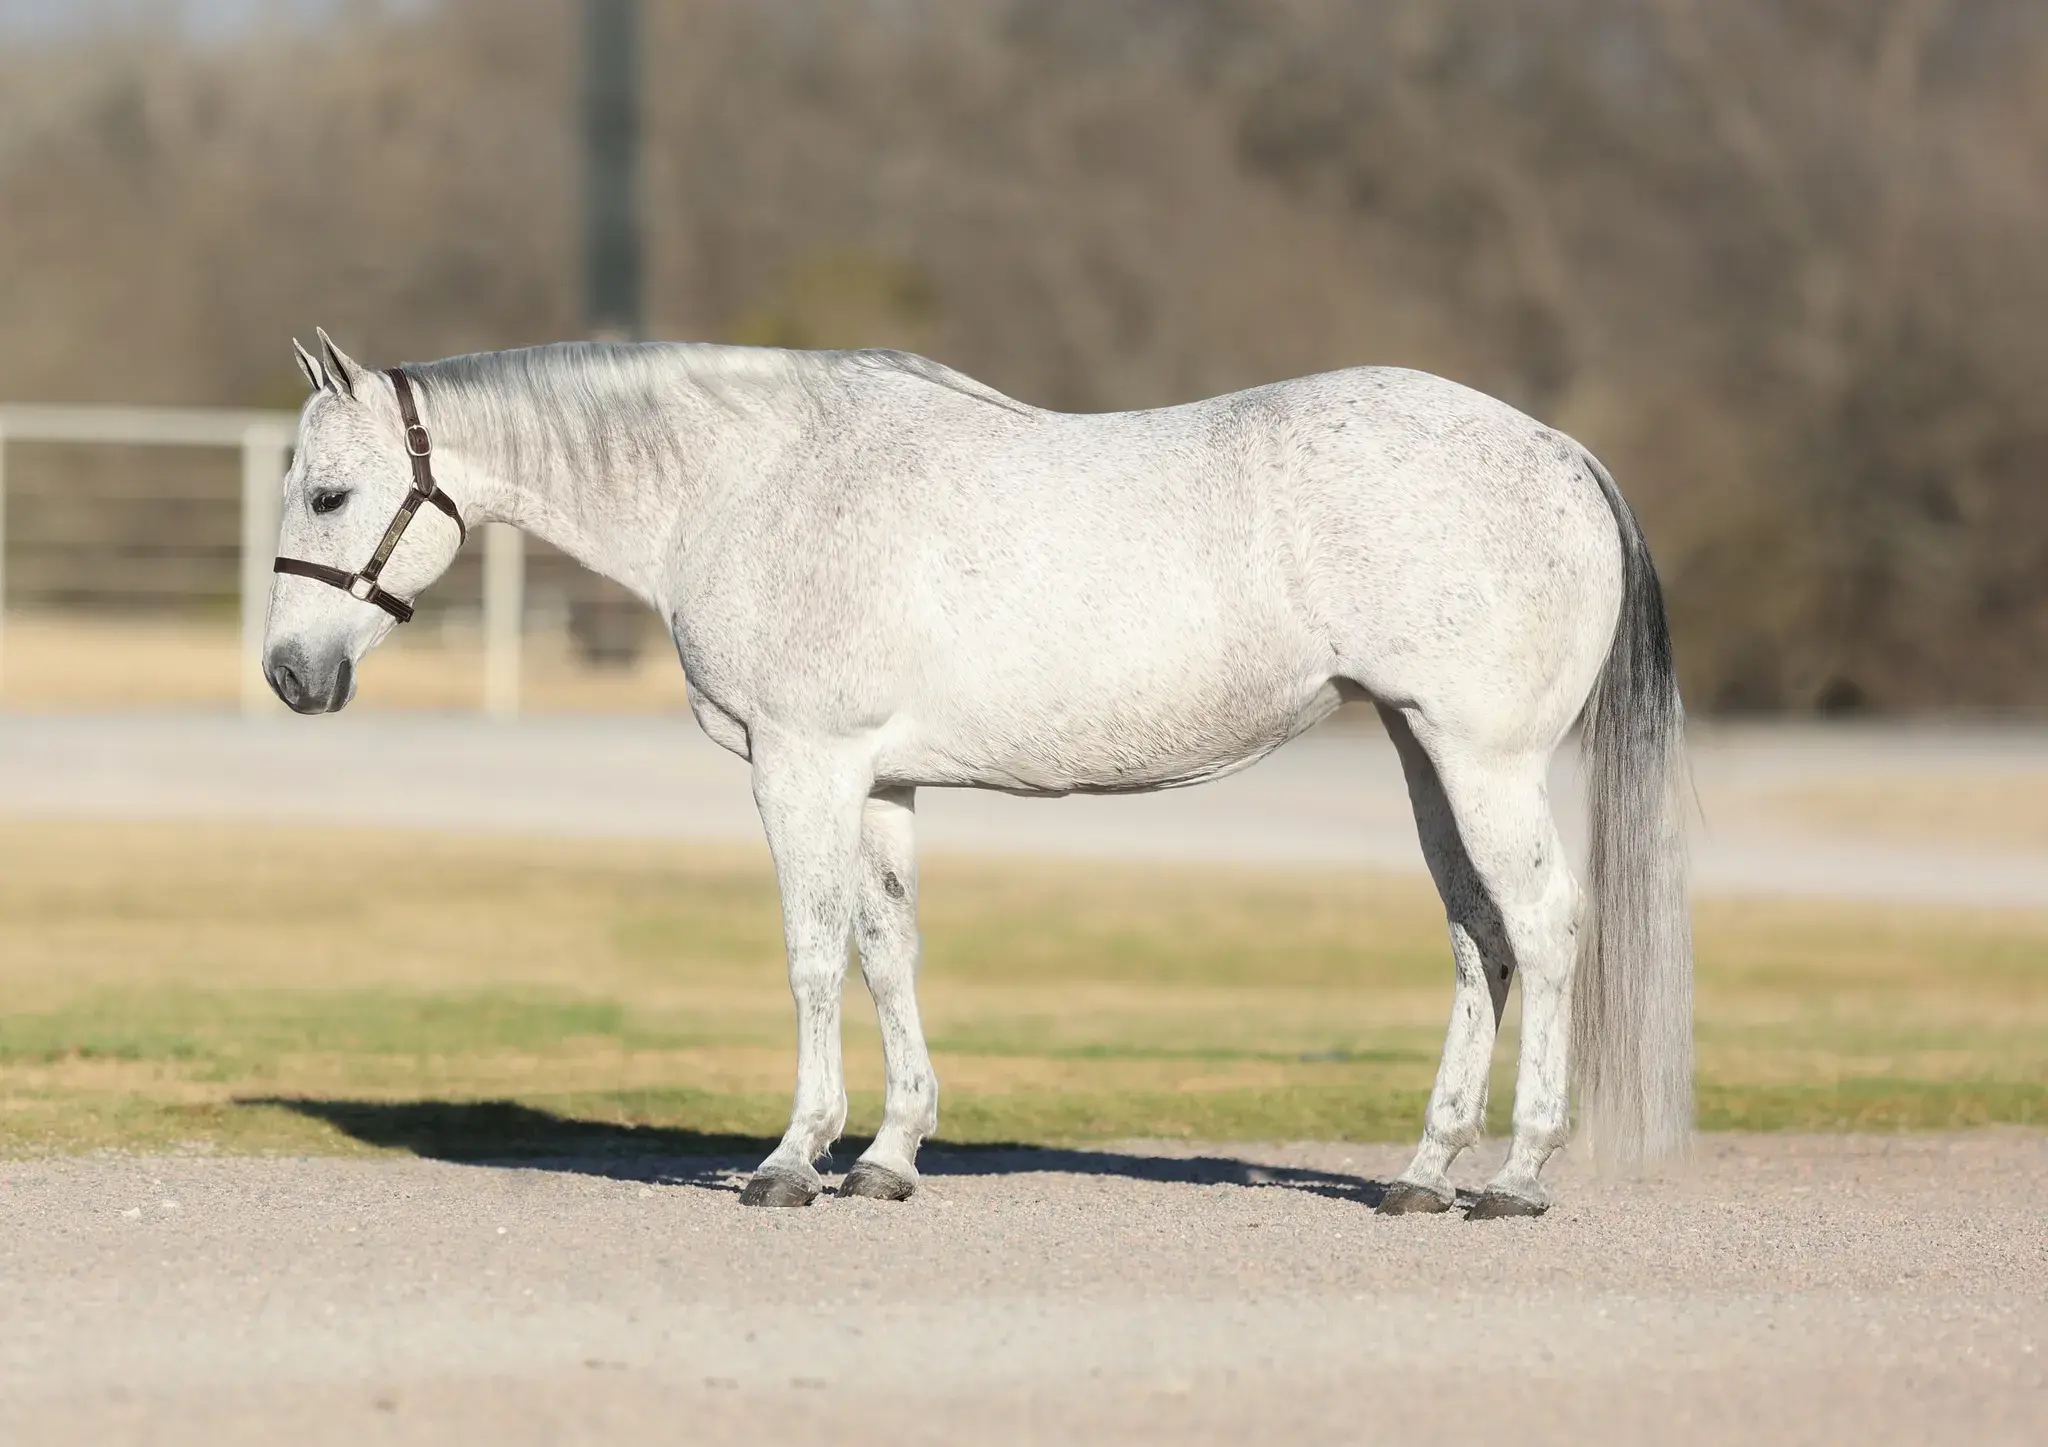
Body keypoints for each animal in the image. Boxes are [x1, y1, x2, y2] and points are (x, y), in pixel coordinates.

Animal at [264, 329, 1691, 1218]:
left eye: (328, 494)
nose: (287, 673)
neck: (753, 483)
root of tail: (1560, 453)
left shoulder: (801, 763)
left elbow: (808, 952)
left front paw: (791, 1157)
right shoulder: (880, 782)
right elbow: (886, 952)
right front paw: (888, 1157)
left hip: (1482, 758)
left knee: (1542, 927)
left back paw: (1512, 1178)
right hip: (1418, 750)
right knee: (1475, 938)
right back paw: (1422, 1169)